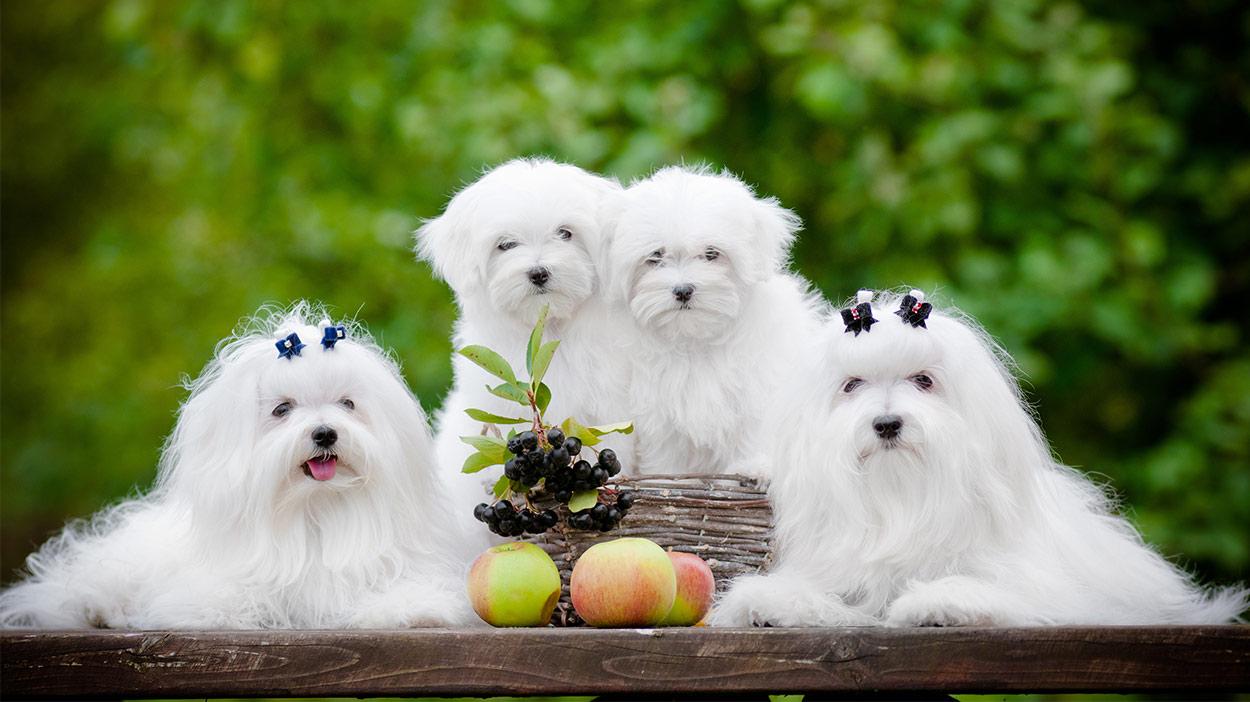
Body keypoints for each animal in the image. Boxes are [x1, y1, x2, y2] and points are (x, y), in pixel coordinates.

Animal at [602, 162, 825, 474]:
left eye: (711, 254)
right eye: (655, 257)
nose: (683, 290)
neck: (698, 340)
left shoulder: (761, 390)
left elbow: (759, 430)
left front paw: (756, 466)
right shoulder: (663, 421)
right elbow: (668, 461)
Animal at [715, 287, 1250, 624]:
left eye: (924, 380)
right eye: (852, 385)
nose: (887, 423)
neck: (902, 499)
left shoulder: (1036, 586)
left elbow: (990, 590)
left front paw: (932, 604)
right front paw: (769, 603)